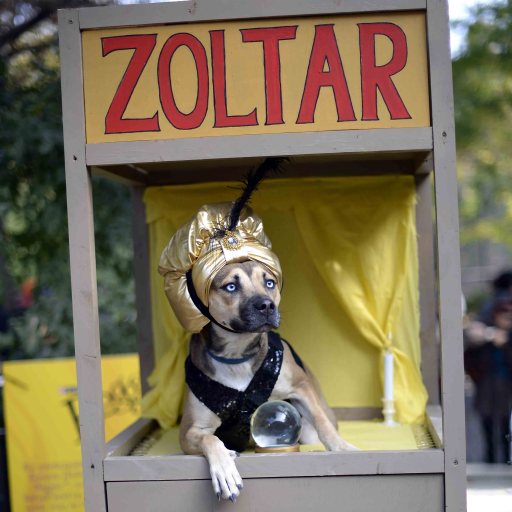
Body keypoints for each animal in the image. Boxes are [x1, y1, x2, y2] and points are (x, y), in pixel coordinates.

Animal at [179, 260, 357, 501]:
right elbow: (210, 439)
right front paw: (225, 470)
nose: (266, 306)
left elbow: (322, 422)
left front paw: (342, 448)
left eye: (270, 283)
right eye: (231, 287)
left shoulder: (301, 387)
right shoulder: (190, 431)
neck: (237, 355)